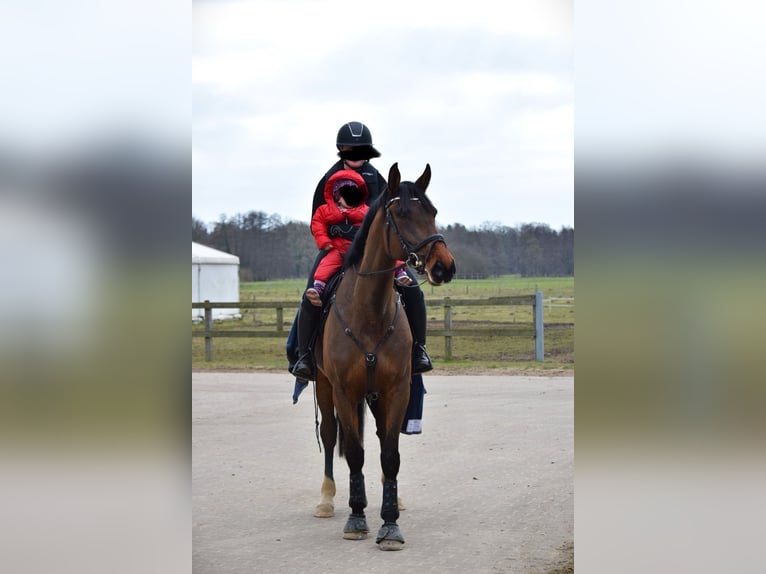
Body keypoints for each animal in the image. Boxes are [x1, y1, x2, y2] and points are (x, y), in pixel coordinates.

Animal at [311, 162, 456, 550]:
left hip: (375, 394)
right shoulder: (345, 392)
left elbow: (390, 454)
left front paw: (389, 523)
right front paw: (356, 517)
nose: (444, 267)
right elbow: (354, 453)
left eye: (433, 211)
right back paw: (327, 498)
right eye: (402, 214)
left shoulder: (397, 389)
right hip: (324, 386)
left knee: (376, 437)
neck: (369, 310)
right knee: (330, 435)